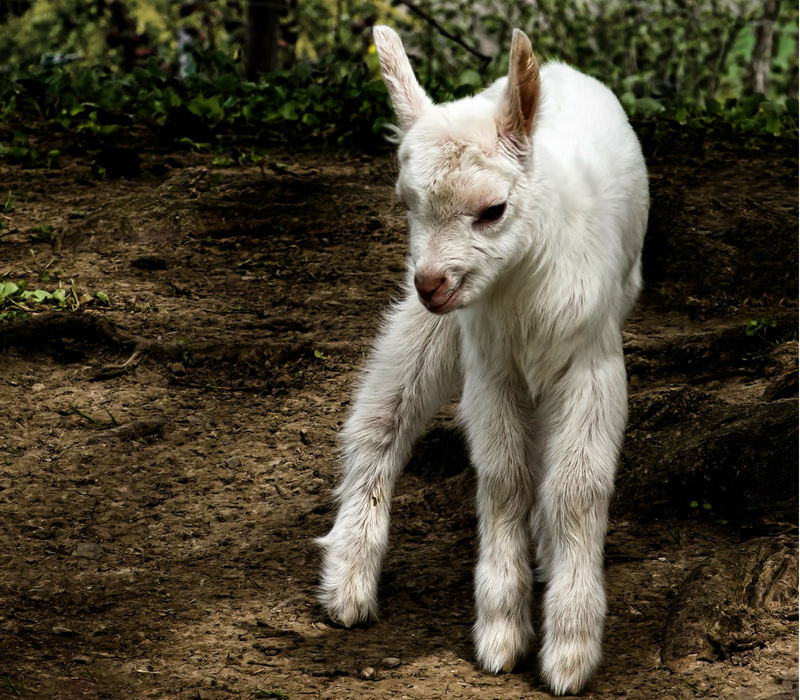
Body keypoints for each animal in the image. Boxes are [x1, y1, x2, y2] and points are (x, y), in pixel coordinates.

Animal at [316, 26, 648, 696]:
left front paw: (569, 651)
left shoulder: (591, 357)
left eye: (493, 210)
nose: (431, 283)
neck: (524, 287)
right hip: (440, 328)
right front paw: (501, 633)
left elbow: (576, 486)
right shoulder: (488, 362)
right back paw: (348, 583)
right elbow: (503, 476)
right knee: (383, 414)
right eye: (406, 204)